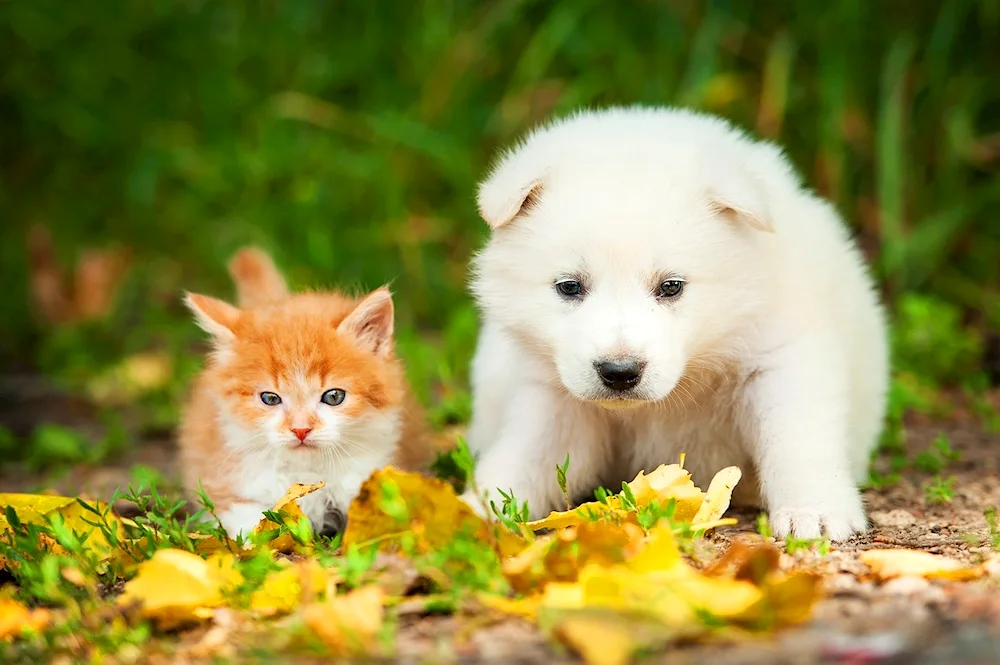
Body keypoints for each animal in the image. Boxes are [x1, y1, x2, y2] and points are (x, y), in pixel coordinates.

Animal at [180, 246, 430, 536]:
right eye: (270, 398)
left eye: (334, 396)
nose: (300, 430)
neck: (308, 473)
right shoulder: (225, 482)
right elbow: (250, 523)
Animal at [460, 104, 892, 540]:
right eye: (569, 287)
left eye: (671, 286)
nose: (620, 372)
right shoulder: (554, 395)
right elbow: (527, 454)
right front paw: (474, 511)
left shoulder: (780, 359)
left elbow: (797, 438)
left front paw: (815, 512)